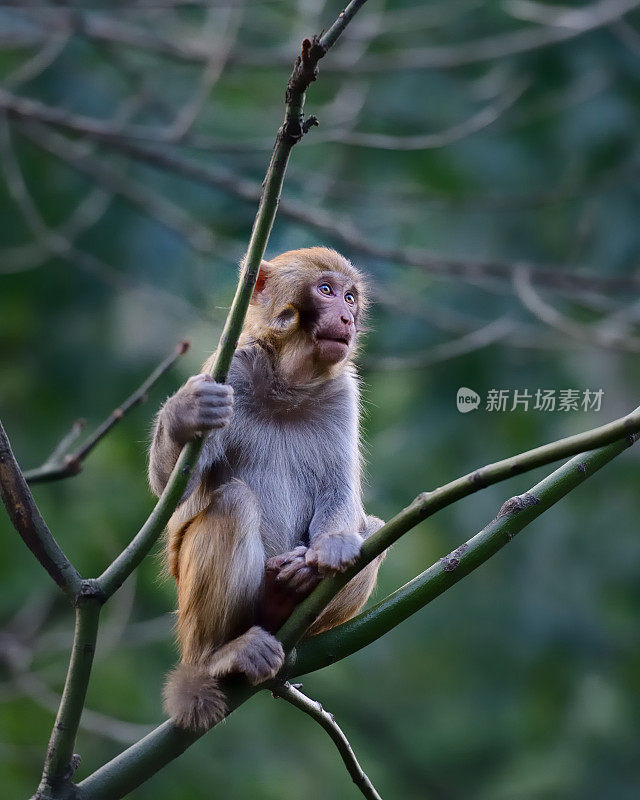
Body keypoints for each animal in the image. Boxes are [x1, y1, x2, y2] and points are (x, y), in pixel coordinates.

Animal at [150, 247, 384, 728]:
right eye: (326, 290)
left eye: (351, 297)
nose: (347, 317)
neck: (288, 382)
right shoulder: (232, 371)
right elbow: (172, 490)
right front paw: (184, 414)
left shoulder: (342, 393)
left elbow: (340, 491)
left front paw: (331, 547)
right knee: (234, 503)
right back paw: (218, 656)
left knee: (372, 528)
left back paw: (287, 597)